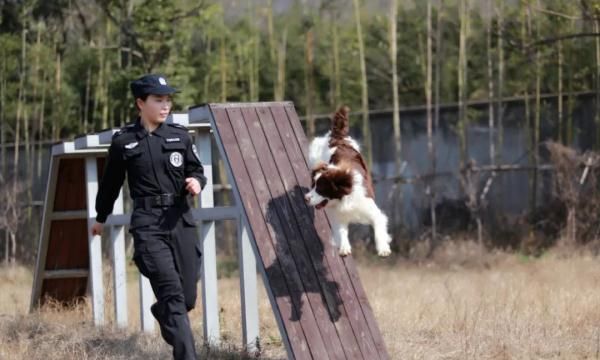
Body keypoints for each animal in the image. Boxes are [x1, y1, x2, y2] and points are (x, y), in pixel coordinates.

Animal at [304, 105, 394, 258]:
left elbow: (378, 226)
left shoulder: (372, 210)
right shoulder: (339, 216)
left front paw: (383, 249)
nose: (306, 198)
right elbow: (341, 231)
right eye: (312, 185)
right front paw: (344, 248)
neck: (344, 198)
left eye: (320, 188)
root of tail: (337, 137)